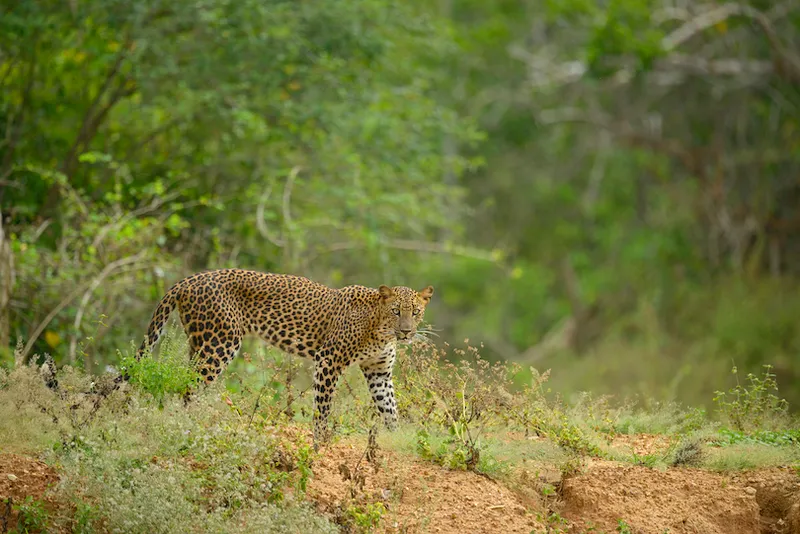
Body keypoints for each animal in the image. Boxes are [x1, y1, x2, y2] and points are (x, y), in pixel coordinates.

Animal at [132, 269, 434, 447]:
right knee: (188, 388)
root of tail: (189, 279)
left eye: (416, 311)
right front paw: (320, 442)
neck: (380, 329)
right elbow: (323, 408)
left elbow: (390, 408)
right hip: (220, 344)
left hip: (199, 344)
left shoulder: (378, 371)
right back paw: (187, 426)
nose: (406, 331)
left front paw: (398, 438)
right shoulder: (328, 361)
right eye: (396, 311)